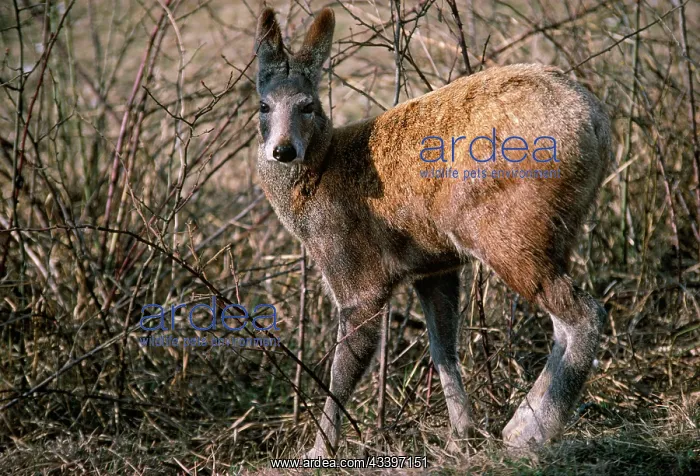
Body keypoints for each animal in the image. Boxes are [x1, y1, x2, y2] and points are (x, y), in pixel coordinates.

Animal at [253, 7, 611, 458]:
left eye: (308, 105)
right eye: (263, 105)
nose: (283, 150)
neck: (317, 181)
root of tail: (597, 121)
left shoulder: (357, 277)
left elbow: (342, 372)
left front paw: (319, 452)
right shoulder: (434, 267)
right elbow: (443, 350)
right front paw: (463, 436)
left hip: (508, 231)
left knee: (583, 313)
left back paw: (533, 431)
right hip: (556, 230)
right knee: (564, 320)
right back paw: (519, 425)